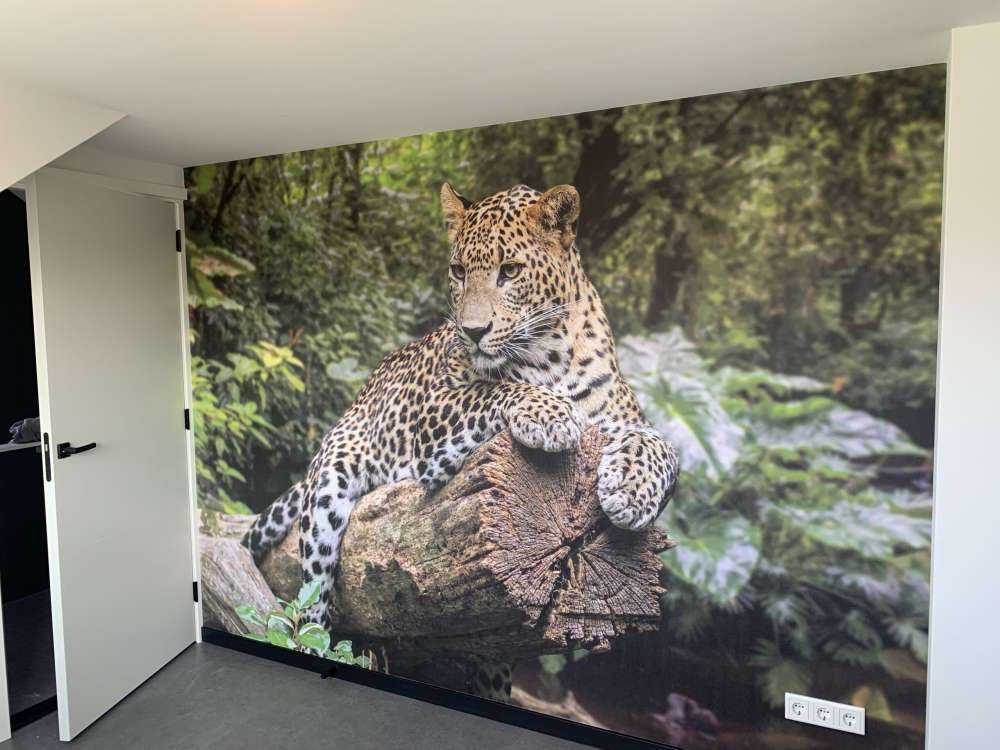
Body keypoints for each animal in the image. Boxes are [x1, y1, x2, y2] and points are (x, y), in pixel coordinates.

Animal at [242, 182, 679, 701]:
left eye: (510, 271)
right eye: (458, 271)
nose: (472, 332)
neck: (551, 354)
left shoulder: (627, 419)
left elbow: (661, 448)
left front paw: (631, 493)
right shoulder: (433, 409)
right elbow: (492, 390)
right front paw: (550, 413)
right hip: (331, 483)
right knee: (311, 598)